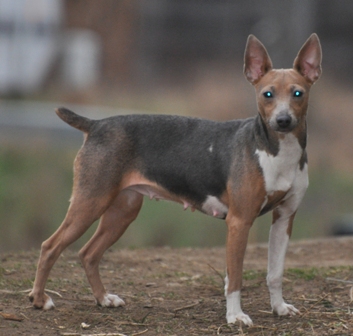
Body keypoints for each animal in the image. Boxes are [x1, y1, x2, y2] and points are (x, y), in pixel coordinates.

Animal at [29, 34, 322, 326]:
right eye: (267, 94)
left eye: (298, 93)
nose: (283, 120)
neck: (275, 150)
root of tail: (96, 124)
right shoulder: (239, 222)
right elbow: (235, 278)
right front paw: (235, 316)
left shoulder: (284, 219)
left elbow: (275, 273)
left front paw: (279, 307)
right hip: (90, 202)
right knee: (50, 246)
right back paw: (40, 300)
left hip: (122, 211)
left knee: (89, 253)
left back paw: (103, 298)